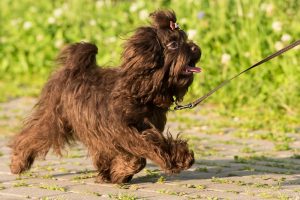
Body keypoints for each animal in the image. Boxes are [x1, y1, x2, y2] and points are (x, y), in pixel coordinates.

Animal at [9, 10, 202, 184]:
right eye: (173, 44)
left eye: (185, 39)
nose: (195, 47)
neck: (139, 90)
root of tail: (73, 67)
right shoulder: (122, 132)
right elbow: (143, 152)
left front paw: (115, 173)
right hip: (55, 117)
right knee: (32, 135)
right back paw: (18, 162)